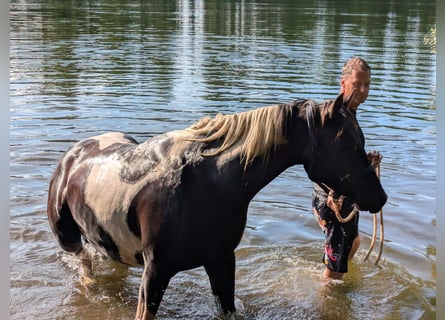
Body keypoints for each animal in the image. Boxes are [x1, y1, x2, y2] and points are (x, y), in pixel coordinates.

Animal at [46, 93, 386, 320]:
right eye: (348, 142)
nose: (380, 198)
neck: (203, 185)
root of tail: (73, 155)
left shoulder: (222, 262)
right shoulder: (155, 272)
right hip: (69, 238)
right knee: (84, 265)